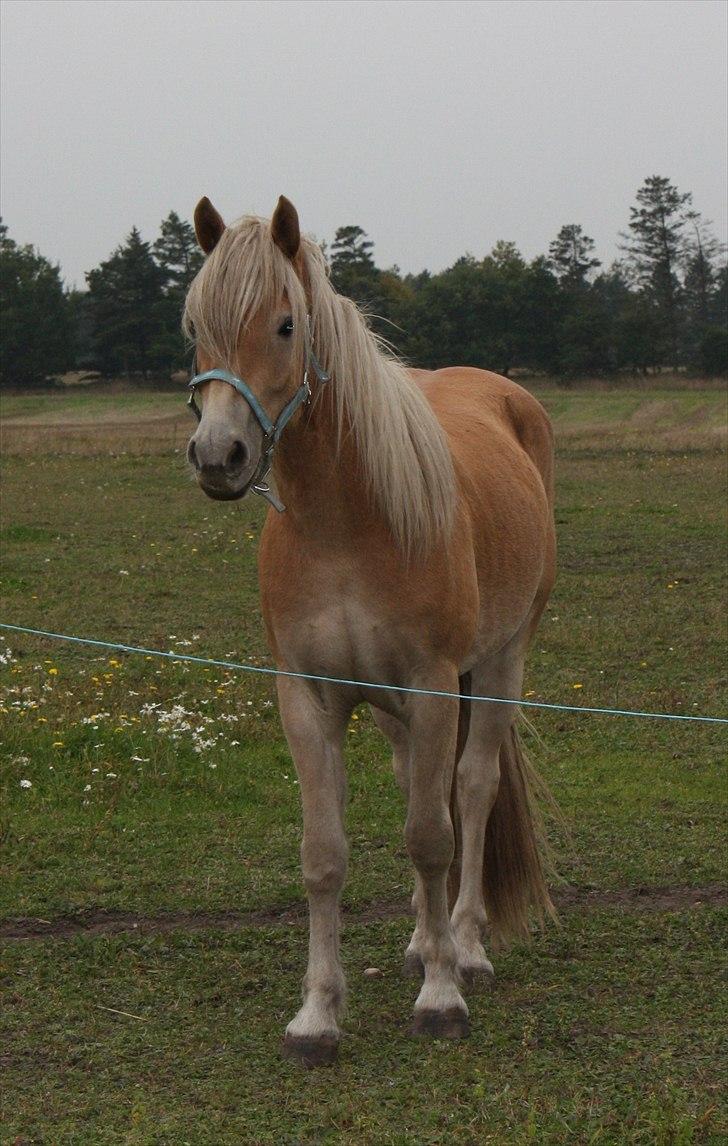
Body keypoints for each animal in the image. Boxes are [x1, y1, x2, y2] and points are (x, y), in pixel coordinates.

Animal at [183, 194, 557, 1063]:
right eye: (194, 329)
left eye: (286, 324)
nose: (219, 455)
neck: (344, 524)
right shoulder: (309, 697)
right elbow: (324, 856)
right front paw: (317, 1014)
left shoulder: (433, 686)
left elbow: (431, 834)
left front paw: (443, 998)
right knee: (421, 787)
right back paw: (426, 938)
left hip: (499, 664)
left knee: (471, 791)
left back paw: (466, 944)